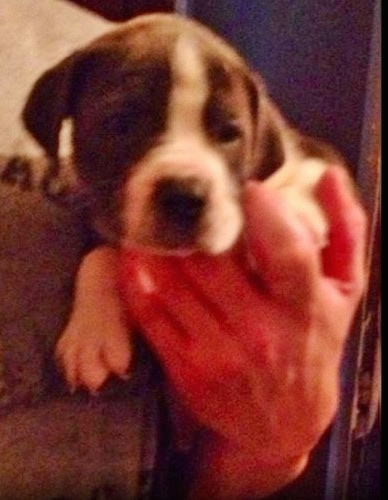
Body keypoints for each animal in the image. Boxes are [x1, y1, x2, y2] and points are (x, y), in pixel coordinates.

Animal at [22, 13, 346, 392]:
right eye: (118, 123)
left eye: (229, 134)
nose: (184, 196)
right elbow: (97, 255)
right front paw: (92, 332)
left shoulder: (316, 154)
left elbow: (308, 177)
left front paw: (292, 215)